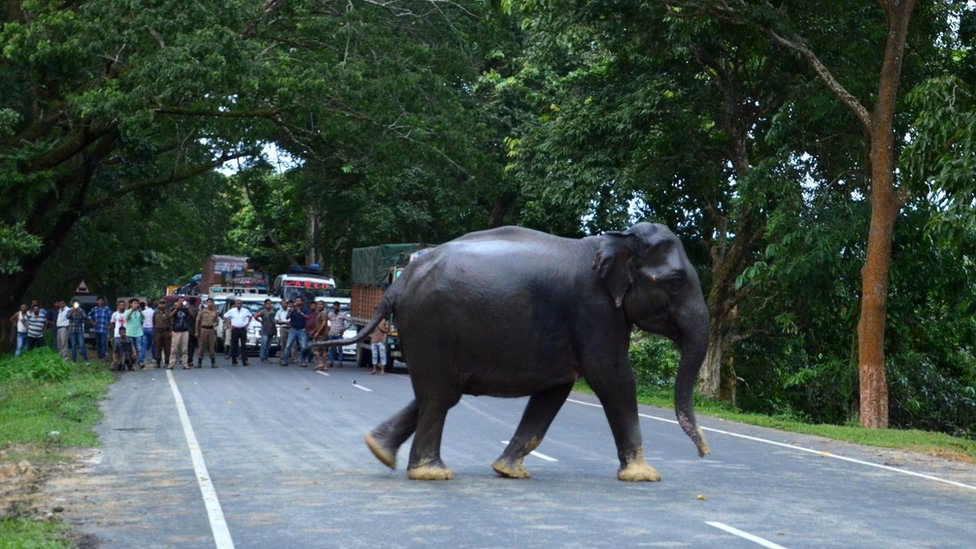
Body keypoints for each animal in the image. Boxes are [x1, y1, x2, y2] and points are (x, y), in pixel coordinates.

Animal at [328, 223, 708, 480]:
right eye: (675, 282)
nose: (705, 452)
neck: (615, 239)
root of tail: (400, 282)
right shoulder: (594, 310)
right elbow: (612, 377)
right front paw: (645, 475)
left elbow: (555, 390)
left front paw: (507, 470)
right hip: (432, 324)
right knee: (439, 395)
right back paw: (432, 473)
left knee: (437, 393)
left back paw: (379, 451)